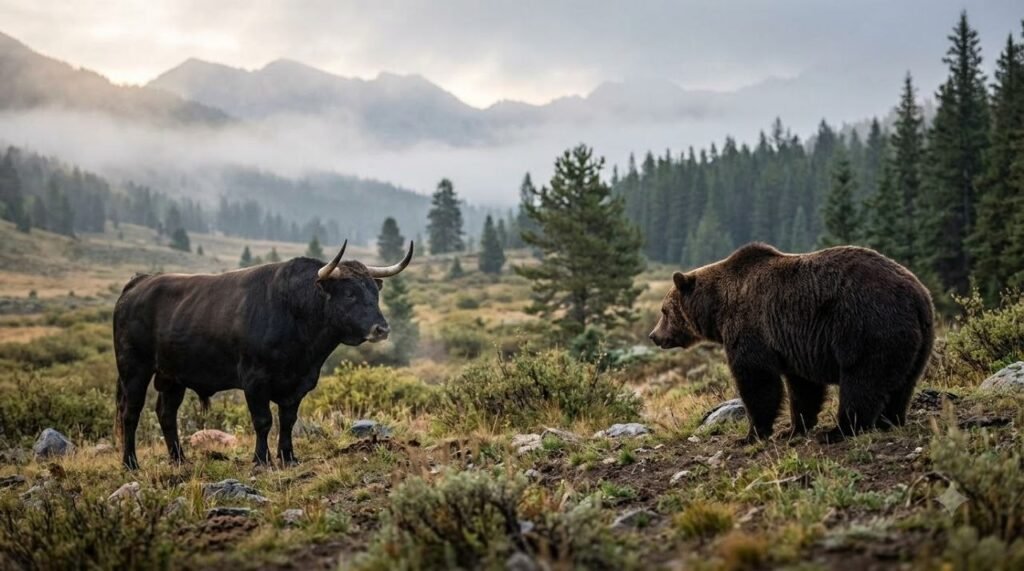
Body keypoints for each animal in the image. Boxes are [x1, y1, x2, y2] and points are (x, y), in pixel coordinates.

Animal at [113, 241, 413, 469]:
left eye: (374, 292)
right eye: (350, 293)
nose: (381, 329)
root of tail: (139, 282)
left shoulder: (298, 383)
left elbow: (288, 420)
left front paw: (288, 457)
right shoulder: (254, 380)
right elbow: (263, 420)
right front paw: (261, 459)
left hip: (172, 376)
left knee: (166, 413)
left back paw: (179, 459)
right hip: (134, 369)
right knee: (131, 412)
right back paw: (131, 463)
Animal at [648, 242, 935, 443]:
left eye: (664, 310)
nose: (654, 335)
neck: (718, 308)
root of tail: (917, 296)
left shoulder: (752, 327)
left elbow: (757, 380)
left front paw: (752, 433)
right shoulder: (795, 344)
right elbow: (803, 388)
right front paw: (793, 429)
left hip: (867, 328)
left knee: (862, 382)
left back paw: (839, 431)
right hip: (917, 341)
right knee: (903, 384)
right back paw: (890, 420)